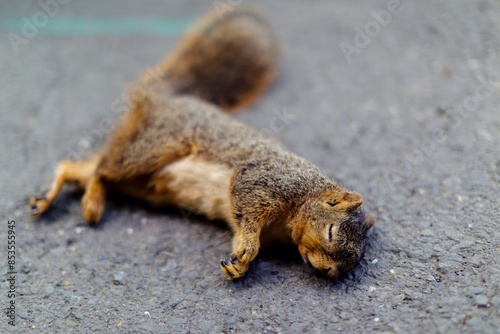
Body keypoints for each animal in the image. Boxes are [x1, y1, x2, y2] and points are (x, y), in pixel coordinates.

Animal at [29, 7, 374, 280]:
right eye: (331, 231)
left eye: (354, 260)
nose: (330, 272)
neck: (304, 198)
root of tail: (166, 99)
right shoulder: (262, 181)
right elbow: (247, 212)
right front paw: (247, 249)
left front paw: (239, 265)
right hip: (151, 148)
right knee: (101, 169)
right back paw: (91, 202)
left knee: (79, 168)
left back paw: (51, 196)